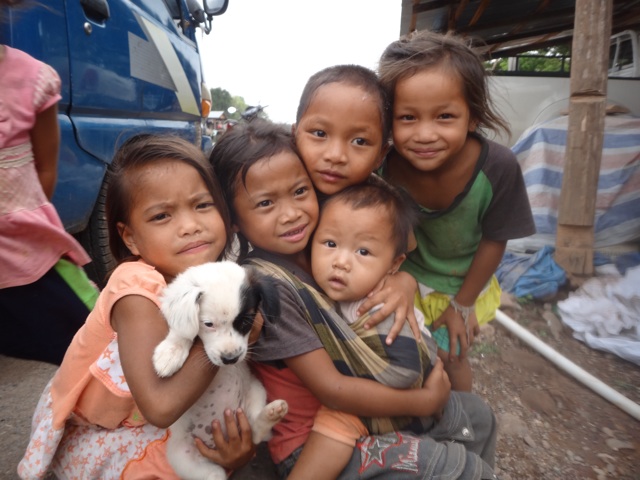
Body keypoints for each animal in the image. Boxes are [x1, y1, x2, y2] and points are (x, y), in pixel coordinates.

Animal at [152, 262, 284, 480]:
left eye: (246, 321)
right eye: (208, 324)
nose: (230, 359)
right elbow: (184, 330)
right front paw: (170, 352)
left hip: (256, 390)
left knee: (257, 433)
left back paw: (272, 414)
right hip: (185, 459)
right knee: (215, 474)